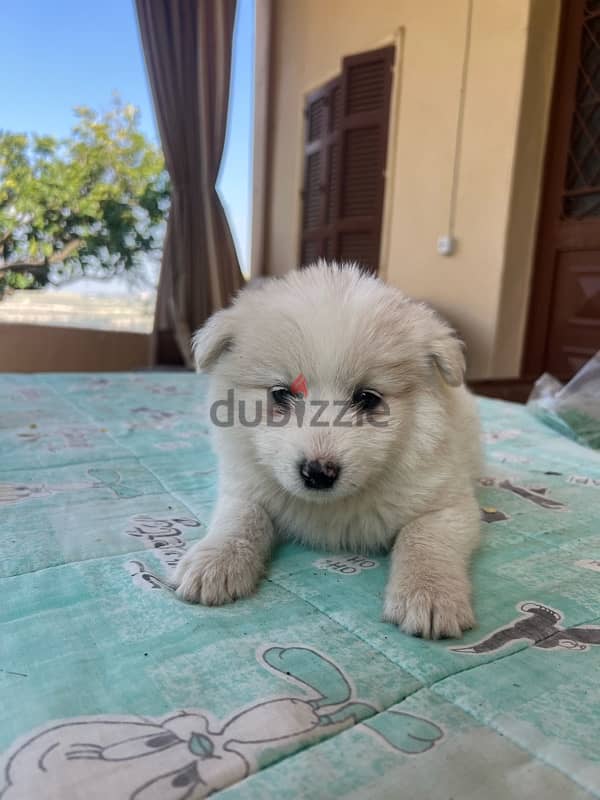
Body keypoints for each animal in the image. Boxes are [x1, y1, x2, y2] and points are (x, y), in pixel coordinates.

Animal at [175, 262, 482, 636]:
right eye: (281, 393)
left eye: (368, 398)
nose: (318, 473)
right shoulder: (243, 488)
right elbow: (242, 518)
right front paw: (215, 561)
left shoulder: (449, 506)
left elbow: (423, 537)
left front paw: (430, 594)